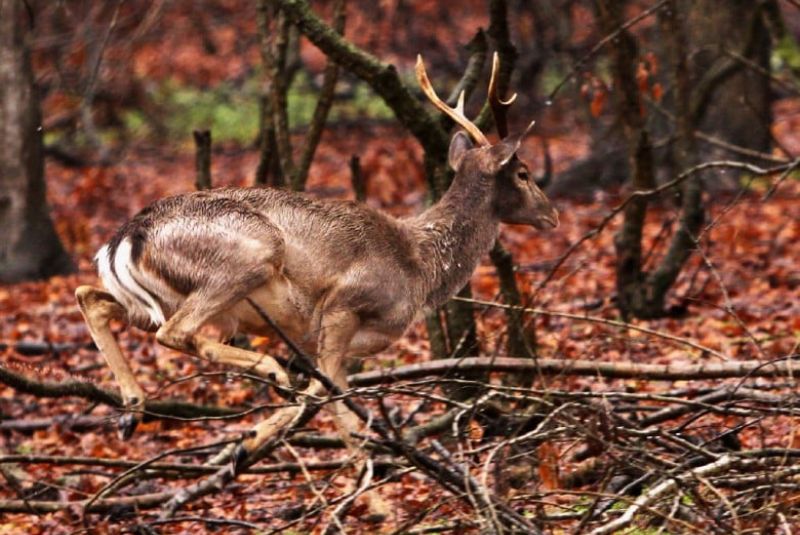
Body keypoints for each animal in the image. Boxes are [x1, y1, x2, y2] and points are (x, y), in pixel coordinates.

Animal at [78, 52, 560, 516]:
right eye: (524, 173)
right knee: (175, 331)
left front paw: (248, 443)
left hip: (150, 299)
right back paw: (264, 370)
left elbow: (323, 391)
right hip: (248, 258)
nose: (552, 215)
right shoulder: (343, 304)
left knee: (93, 298)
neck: (419, 268)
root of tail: (126, 236)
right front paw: (377, 504)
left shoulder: (333, 341)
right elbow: (334, 400)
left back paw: (132, 410)